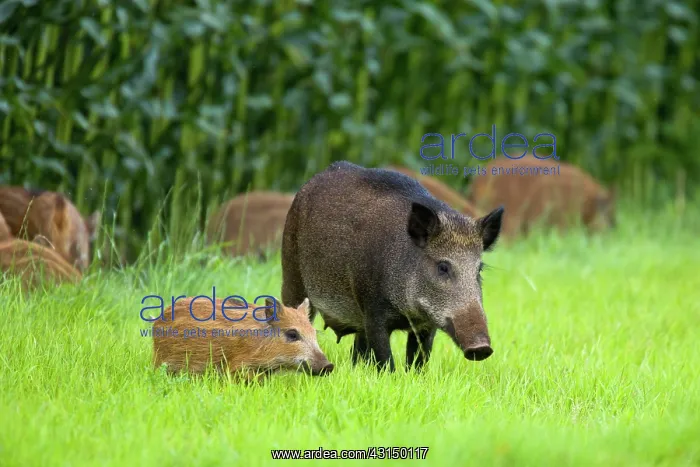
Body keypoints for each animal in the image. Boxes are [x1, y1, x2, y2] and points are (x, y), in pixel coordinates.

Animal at [281, 161, 504, 372]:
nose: (481, 348)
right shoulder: (374, 312)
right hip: (292, 275)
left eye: (479, 269)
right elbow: (386, 362)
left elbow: (418, 361)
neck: (409, 312)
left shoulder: (426, 325)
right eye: (443, 267)